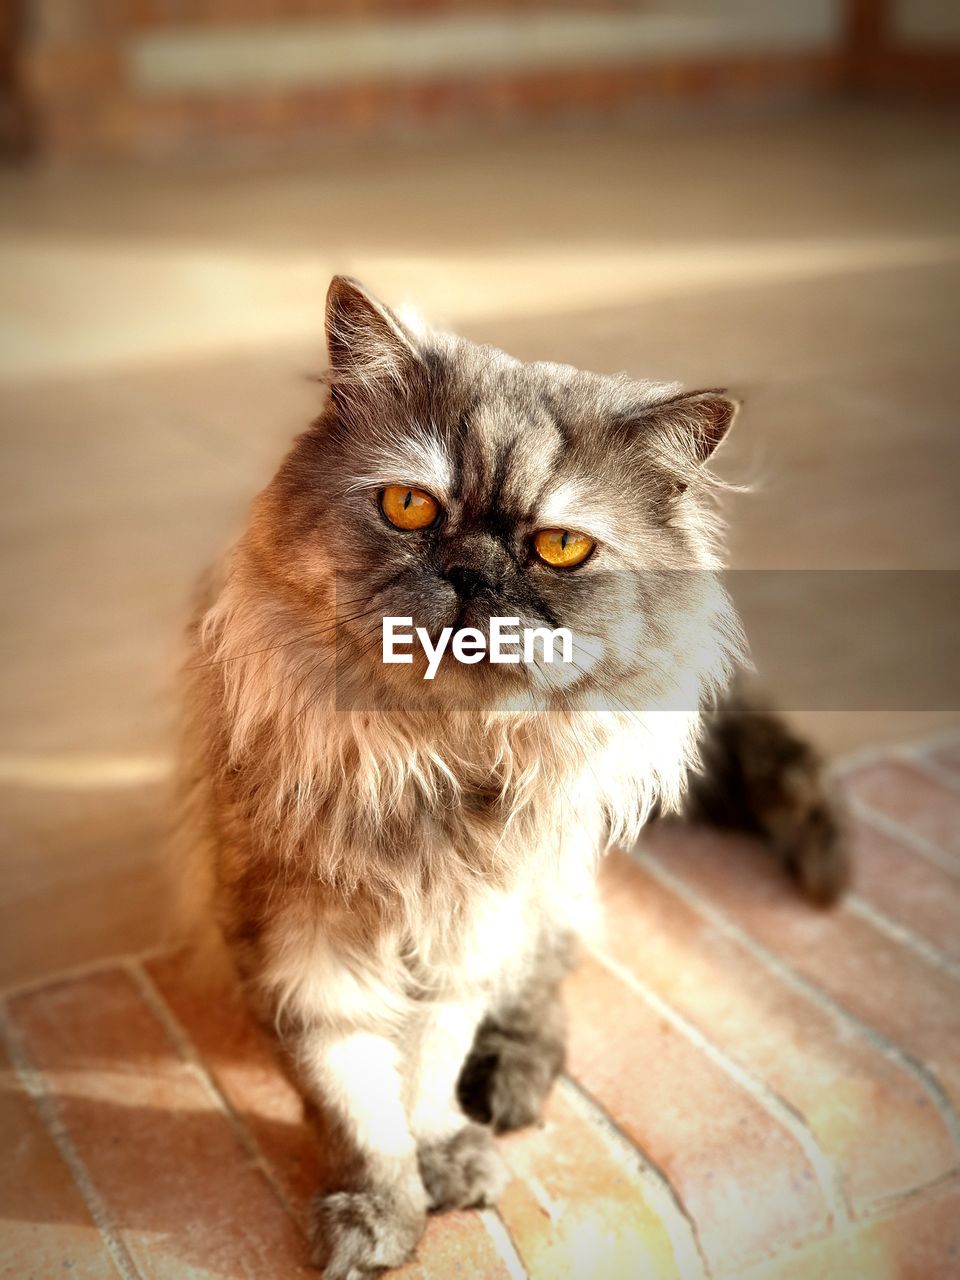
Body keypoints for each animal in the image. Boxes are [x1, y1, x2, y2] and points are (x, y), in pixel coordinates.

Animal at [180, 275, 849, 1274]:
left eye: (560, 548)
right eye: (410, 508)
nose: (471, 572)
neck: (435, 763)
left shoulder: (473, 929)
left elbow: (427, 1066)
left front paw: (441, 1160)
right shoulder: (301, 939)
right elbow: (353, 1094)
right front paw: (377, 1211)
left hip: (550, 894)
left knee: (546, 995)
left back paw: (508, 1091)